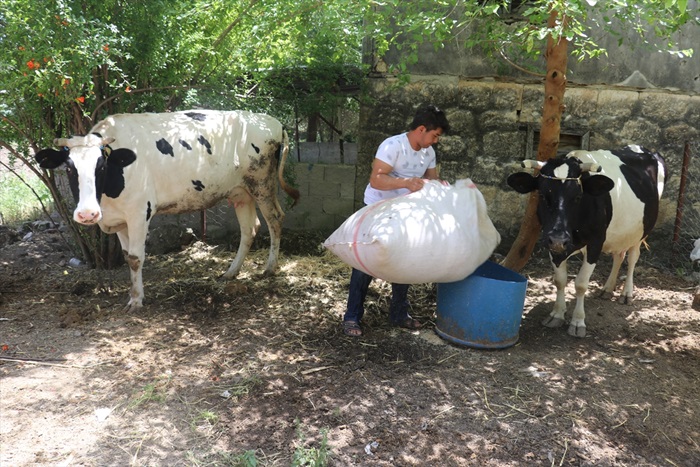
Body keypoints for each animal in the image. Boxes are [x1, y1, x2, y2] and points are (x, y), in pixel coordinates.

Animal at [36, 110, 298, 312]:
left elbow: (135, 258)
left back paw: (269, 268)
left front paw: (136, 301)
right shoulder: (120, 218)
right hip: (240, 192)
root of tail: (272, 121)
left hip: (262, 184)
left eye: (101, 166)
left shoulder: (139, 212)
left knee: (275, 219)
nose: (87, 213)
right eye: (69, 168)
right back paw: (231, 272)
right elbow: (126, 255)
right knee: (249, 228)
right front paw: (133, 294)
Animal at [506, 145, 664, 336]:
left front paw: (578, 321)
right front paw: (557, 314)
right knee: (618, 255)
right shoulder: (552, 244)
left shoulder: (596, 242)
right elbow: (560, 280)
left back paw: (626, 293)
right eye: (543, 195)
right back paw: (608, 288)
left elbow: (581, 284)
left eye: (577, 197)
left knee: (633, 258)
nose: (559, 238)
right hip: (620, 233)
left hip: (641, 232)